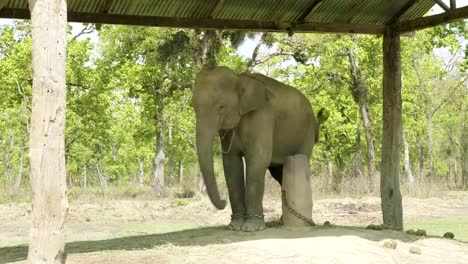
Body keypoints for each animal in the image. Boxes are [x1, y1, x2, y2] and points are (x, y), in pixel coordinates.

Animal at [192, 66, 324, 231]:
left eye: (221, 106)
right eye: (193, 107)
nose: (223, 202)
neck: (239, 78)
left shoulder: (262, 116)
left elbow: (258, 159)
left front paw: (251, 228)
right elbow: (230, 164)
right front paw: (235, 226)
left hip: (306, 133)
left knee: (300, 160)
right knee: (278, 173)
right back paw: (283, 220)